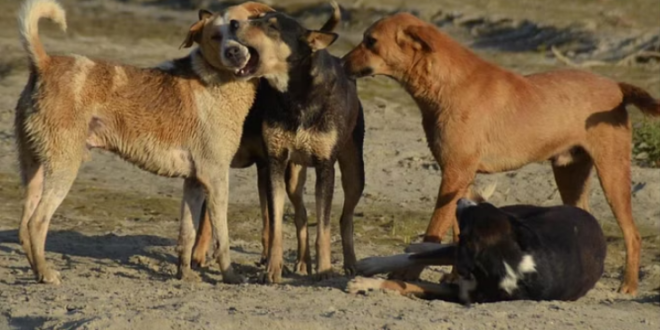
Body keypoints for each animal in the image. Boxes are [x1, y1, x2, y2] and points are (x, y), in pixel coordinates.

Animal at [14, 0, 274, 284]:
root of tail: (44, 63)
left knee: (23, 226)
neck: (216, 79)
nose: (234, 52)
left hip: (34, 168)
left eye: (239, 28)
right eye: (216, 36)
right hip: (63, 167)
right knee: (37, 222)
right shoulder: (216, 178)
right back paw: (47, 273)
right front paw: (230, 275)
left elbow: (187, 233)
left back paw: (37, 271)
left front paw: (185, 275)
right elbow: (222, 238)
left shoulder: (194, 182)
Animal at [188, 2, 342, 270]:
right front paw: (199, 253)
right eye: (214, 35)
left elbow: (271, 219)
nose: (234, 52)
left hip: (292, 175)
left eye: (268, 24)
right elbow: (209, 215)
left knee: (300, 213)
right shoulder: (215, 162)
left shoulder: (268, 164)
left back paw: (301, 262)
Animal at [229, 7, 366, 282]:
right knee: (301, 215)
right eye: (256, 18)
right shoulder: (275, 162)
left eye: (272, 26)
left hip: (354, 172)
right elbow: (276, 225)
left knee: (345, 217)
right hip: (293, 174)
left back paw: (349, 263)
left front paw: (325, 270)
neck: (296, 96)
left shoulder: (325, 167)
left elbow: (323, 226)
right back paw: (303, 263)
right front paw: (272, 269)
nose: (234, 23)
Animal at [348, 199, 604, 304]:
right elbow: (410, 263)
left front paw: (364, 282)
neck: (508, 262)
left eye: (469, 216)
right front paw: (368, 271)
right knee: (429, 252)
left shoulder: (457, 290)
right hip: (521, 217)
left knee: (442, 251)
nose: (461, 199)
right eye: (484, 206)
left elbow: (405, 285)